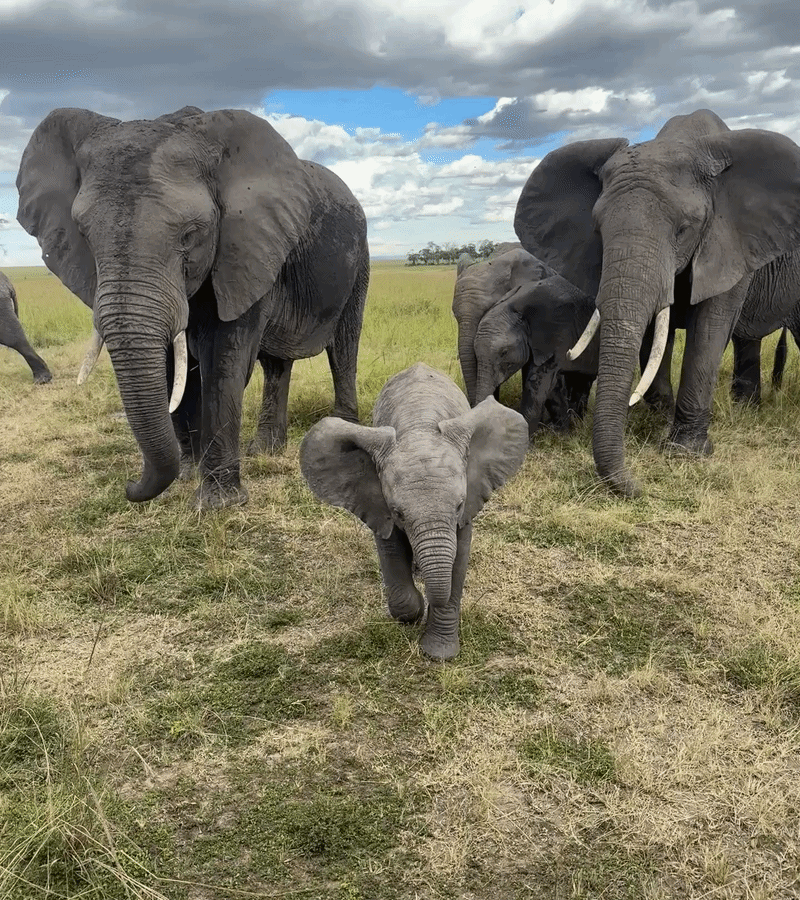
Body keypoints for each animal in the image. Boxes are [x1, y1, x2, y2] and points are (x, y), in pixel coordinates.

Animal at [17, 106, 369, 509]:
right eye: (84, 235)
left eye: (190, 235)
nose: (130, 487)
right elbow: (174, 370)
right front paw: (187, 472)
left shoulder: (244, 248)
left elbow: (223, 362)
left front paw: (216, 504)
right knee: (277, 365)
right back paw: (264, 451)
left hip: (358, 259)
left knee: (343, 349)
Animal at [299, 363, 528, 660]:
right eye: (398, 513)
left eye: (459, 505)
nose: (427, 598)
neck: (419, 425)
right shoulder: (377, 501)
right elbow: (390, 549)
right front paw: (413, 611)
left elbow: (459, 559)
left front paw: (439, 654)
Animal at [514, 108, 800, 497]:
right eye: (597, 230)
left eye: (684, 229)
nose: (639, 487)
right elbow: (652, 332)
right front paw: (659, 418)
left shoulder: (730, 242)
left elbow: (709, 329)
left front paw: (685, 451)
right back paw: (746, 411)